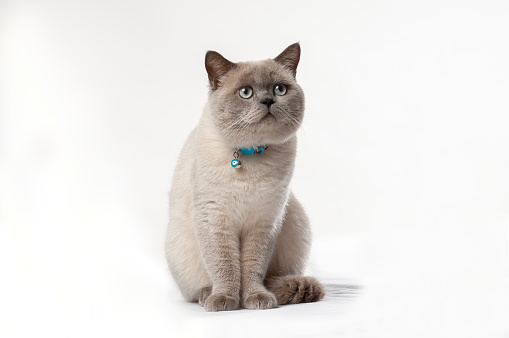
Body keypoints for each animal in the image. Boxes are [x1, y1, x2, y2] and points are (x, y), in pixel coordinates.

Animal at [167, 43, 326, 312]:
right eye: (245, 92)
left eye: (279, 89)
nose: (268, 101)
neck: (251, 154)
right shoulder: (215, 220)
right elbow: (225, 267)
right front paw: (225, 300)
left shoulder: (264, 222)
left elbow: (252, 268)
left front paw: (255, 298)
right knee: (197, 287)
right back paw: (207, 295)